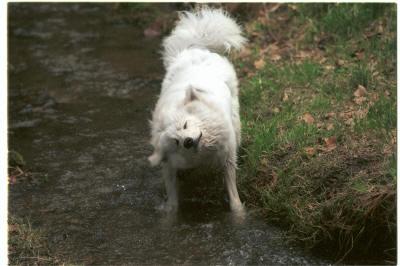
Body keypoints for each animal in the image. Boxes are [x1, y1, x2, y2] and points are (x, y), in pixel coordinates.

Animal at [148, 7, 245, 212]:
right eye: (176, 141)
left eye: (185, 125)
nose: (188, 142)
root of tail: (194, 48)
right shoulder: (170, 166)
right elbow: (172, 194)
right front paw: (170, 211)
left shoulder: (227, 157)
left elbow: (233, 192)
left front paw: (239, 211)